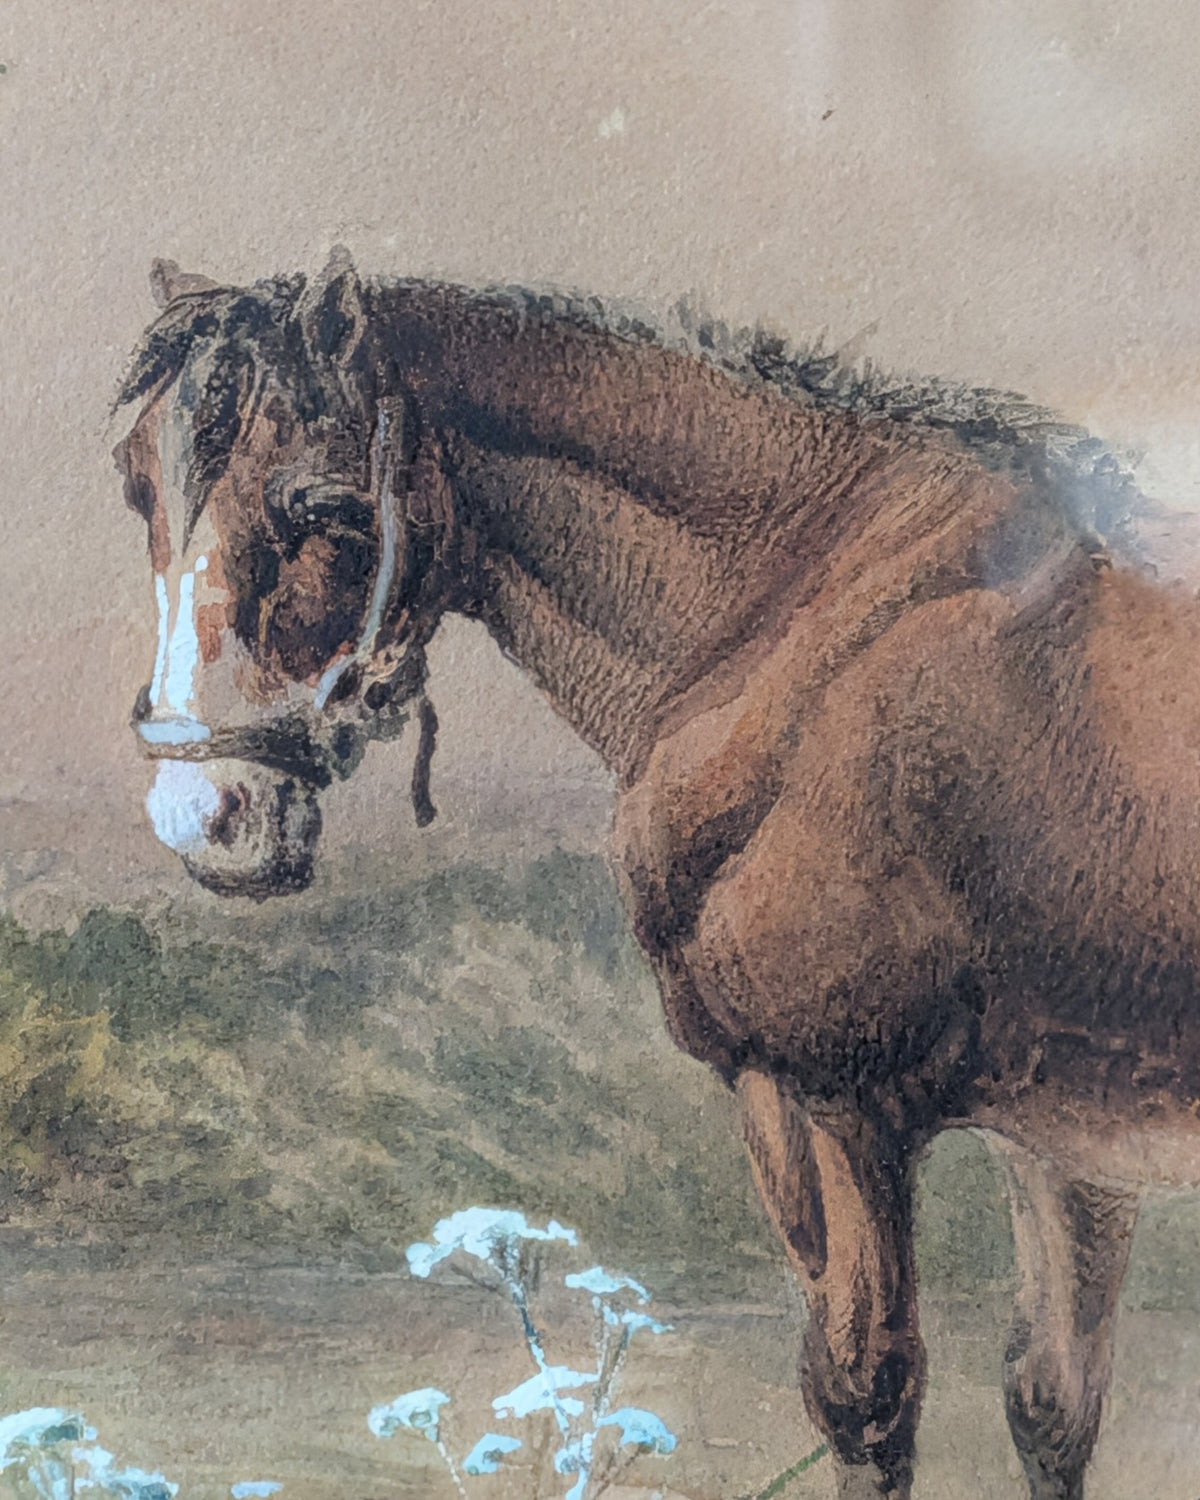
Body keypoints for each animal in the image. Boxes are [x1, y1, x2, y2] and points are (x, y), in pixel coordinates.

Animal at [112, 252, 1200, 1500]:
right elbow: (1051, 1404)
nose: (204, 811)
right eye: (138, 486)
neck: (807, 620)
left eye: (325, 507)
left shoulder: (836, 1105)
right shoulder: (1065, 1142)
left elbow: (870, 1396)